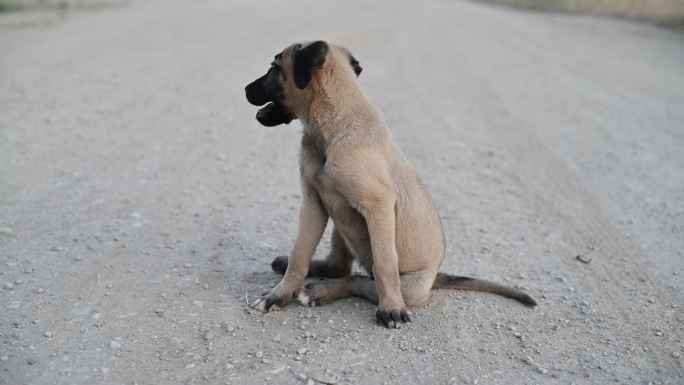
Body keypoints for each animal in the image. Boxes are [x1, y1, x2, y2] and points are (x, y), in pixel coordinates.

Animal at [243, 40, 536, 328]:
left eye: (274, 67)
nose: (245, 88)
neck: (333, 124)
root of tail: (436, 275)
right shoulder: (314, 202)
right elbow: (299, 256)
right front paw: (279, 295)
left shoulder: (379, 206)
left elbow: (384, 265)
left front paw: (391, 308)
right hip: (339, 220)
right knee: (339, 266)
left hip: (413, 285)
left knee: (363, 280)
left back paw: (321, 292)